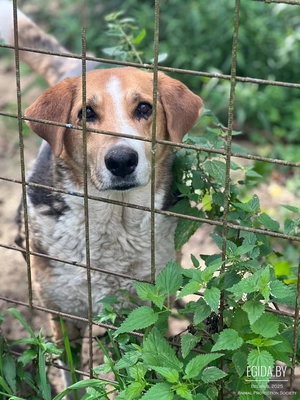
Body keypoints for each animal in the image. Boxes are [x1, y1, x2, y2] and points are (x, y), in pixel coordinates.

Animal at [1, 0, 203, 392]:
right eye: (86, 114)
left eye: (144, 108)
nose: (122, 160)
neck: (115, 223)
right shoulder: (62, 312)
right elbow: (71, 374)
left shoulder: (146, 307)